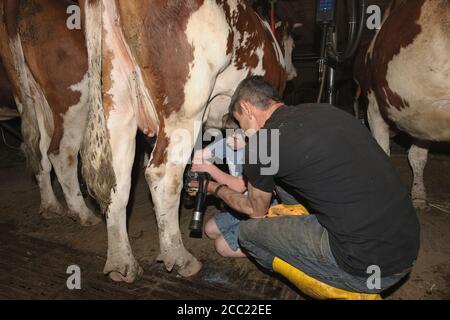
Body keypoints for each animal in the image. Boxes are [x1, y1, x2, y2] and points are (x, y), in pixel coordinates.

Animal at [0, 0, 100, 225]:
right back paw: (83, 213)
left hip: (31, 95)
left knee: (40, 150)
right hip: (75, 97)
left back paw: (51, 206)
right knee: (62, 153)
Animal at [79, 0, 298, 282]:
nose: (292, 74)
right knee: (163, 177)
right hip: (186, 106)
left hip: (117, 100)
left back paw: (122, 264)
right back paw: (180, 258)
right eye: (291, 45)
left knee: (119, 182)